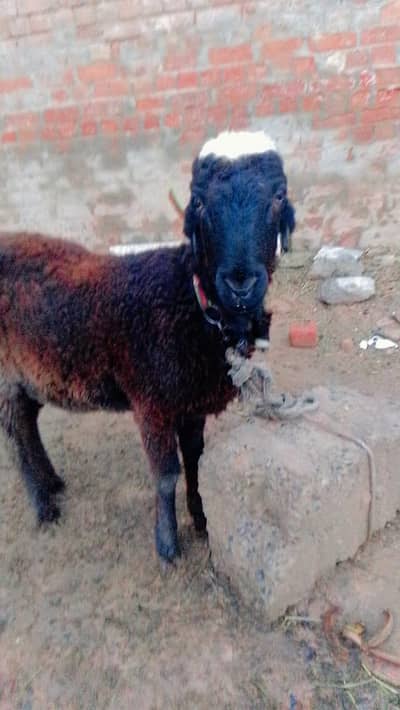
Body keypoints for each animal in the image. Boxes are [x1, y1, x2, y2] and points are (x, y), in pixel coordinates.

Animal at [0, 130, 295, 562]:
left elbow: (195, 459)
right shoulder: (151, 401)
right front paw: (168, 545)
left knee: (27, 421)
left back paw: (53, 483)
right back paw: (44, 506)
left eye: (278, 196)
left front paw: (202, 518)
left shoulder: (190, 402)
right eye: (199, 202)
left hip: (35, 374)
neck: (191, 301)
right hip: (5, 375)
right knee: (15, 433)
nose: (240, 283)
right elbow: (167, 474)